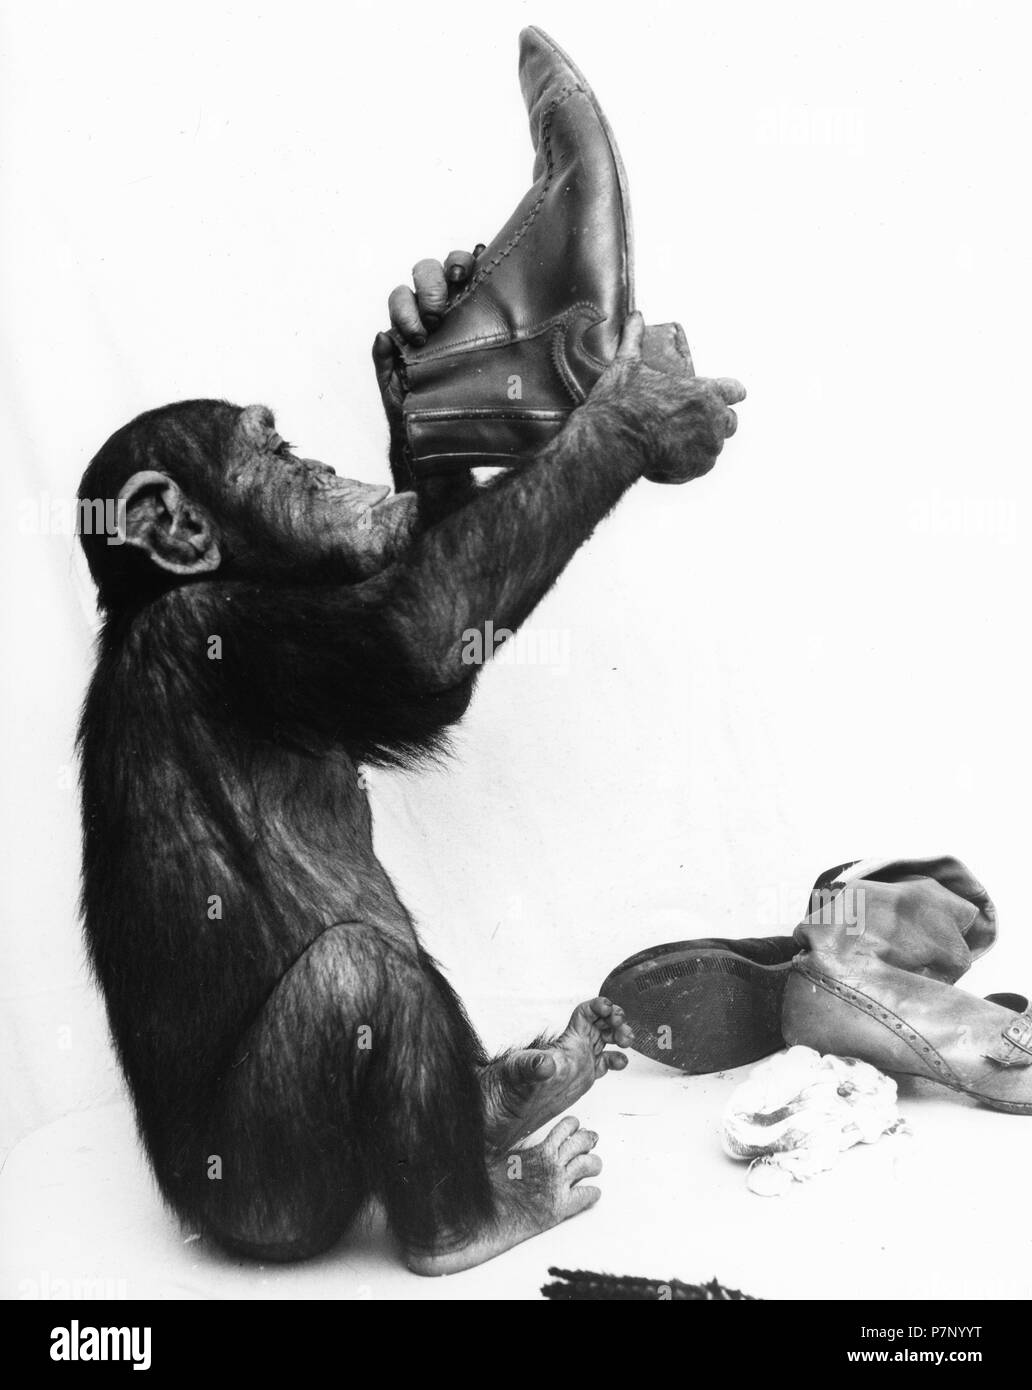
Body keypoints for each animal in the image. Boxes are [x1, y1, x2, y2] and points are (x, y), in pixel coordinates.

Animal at [76, 250, 745, 1272]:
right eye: (275, 454)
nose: (319, 465)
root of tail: (193, 1216)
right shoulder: (224, 632)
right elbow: (421, 636)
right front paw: (641, 402)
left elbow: (439, 594)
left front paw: (425, 320)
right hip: (269, 1198)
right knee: (362, 977)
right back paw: (473, 1225)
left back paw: (517, 1092)